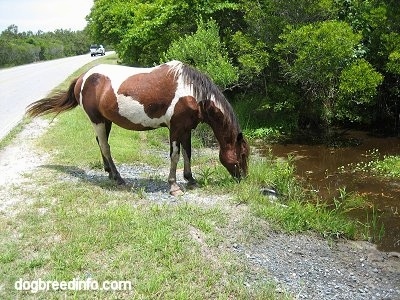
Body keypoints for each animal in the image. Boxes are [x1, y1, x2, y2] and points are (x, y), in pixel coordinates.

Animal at [26, 61, 248, 197]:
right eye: (243, 154)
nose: (244, 178)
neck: (192, 93)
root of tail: (82, 77)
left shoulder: (186, 129)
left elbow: (188, 153)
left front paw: (191, 179)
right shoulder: (175, 128)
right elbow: (175, 155)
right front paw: (174, 186)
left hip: (105, 121)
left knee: (100, 143)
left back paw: (109, 173)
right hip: (97, 120)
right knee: (105, 147)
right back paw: (118, 178)